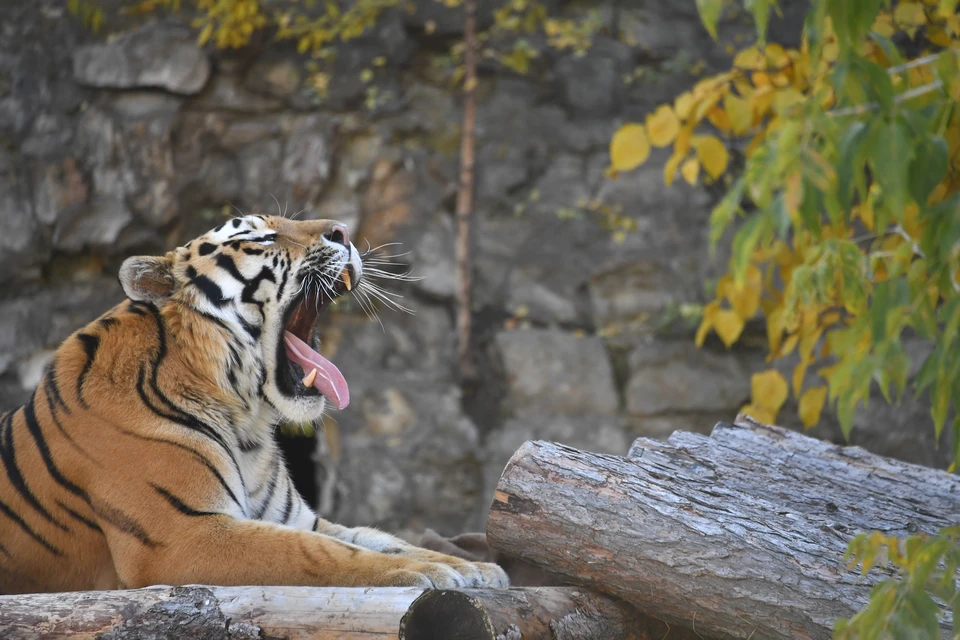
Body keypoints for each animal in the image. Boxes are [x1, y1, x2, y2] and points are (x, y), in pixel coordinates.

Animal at [0, 215, 510, 596]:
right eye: (261, 237)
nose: (344, 230)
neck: (244, 420)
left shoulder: (296, 518)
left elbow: (380, 538)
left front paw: (470, 567)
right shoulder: (183, 535)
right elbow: (316, 553)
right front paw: (430, 573)